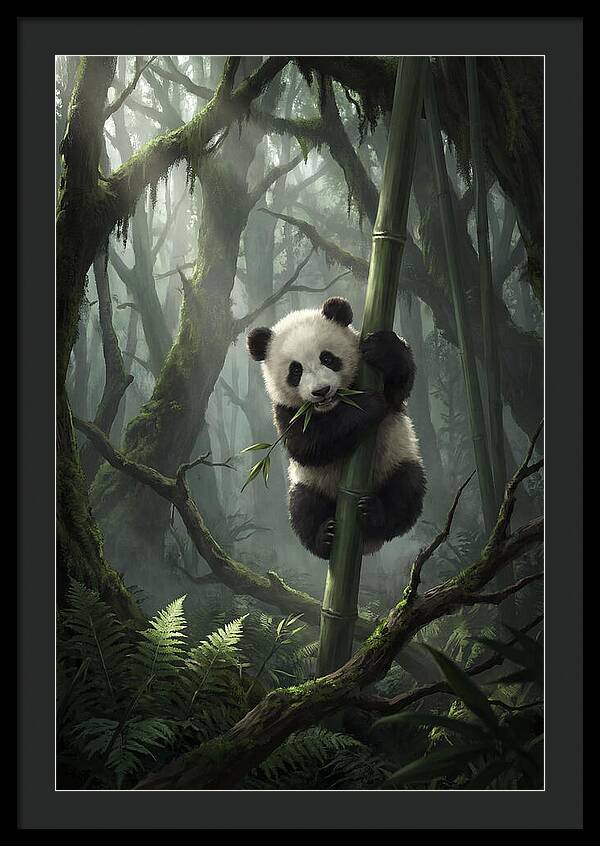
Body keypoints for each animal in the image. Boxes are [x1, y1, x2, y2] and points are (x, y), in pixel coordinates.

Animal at [247, 296, 426, 559]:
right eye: (295, 370)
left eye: (327, 358)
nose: (321, 391)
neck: (333, 406)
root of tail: (367, 545)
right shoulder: (285, 411)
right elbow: (308, 445)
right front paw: (368, 405)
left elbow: (398, 387)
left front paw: (382, 349)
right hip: (309, 483)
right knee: (303, 508)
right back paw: (325, 537)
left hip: (396, 459)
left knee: (406, 489)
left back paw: (375, 514)